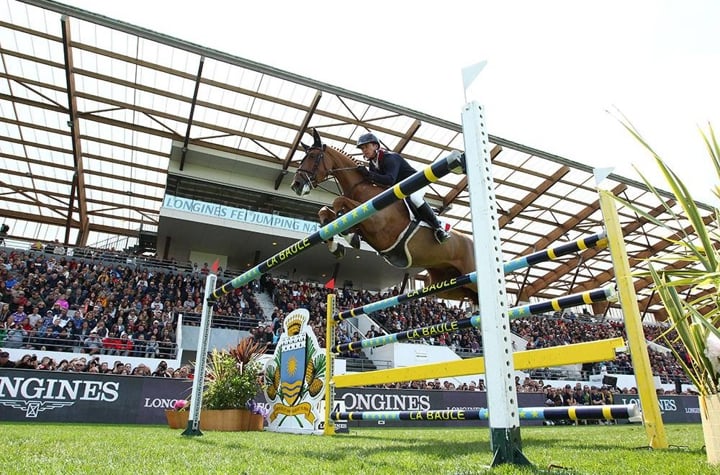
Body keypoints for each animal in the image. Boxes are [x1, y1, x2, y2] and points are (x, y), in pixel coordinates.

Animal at [286, 128, 478, 304]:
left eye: (312, 157)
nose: (296, 184)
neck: (361, 187)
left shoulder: (377, 225)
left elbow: (339, 201)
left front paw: (348, 237)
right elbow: (325, 211)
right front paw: (338, 245)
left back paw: (441, 232)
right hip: (451, 287)